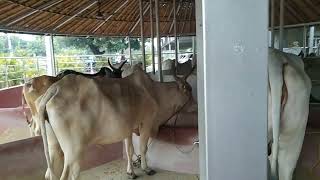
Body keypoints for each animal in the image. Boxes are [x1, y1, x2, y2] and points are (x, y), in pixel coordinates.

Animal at [35, 64, 195, 180]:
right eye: (189, 91)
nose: (195, 105)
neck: (154, 92)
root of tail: (55, 88)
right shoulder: (146, 122)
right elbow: (143, 148)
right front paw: (146, 168)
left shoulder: (127, 128)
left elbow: (130, 150)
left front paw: (131, 172)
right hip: (74, 150)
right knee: (69, 174)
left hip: (54, 146)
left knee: (49, 173)